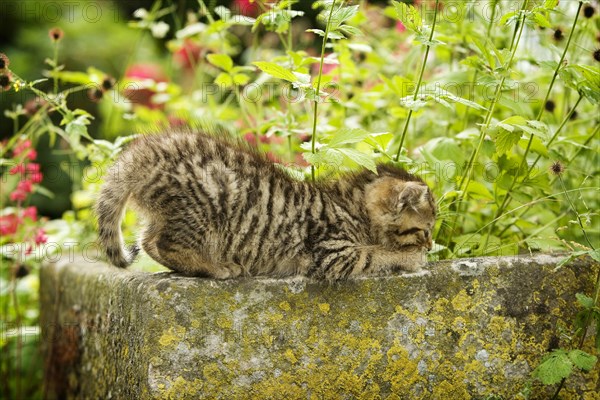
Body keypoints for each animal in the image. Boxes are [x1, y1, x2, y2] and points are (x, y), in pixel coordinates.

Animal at [97, 130, 436, 280]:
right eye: (426, 229)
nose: (432, 245)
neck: (351, 205)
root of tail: (141, 153)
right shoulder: (333, 253)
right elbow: (376, 254)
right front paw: (411, 258)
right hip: (203, 204)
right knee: (165, 243)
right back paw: (216, 267)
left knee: (148, 240)